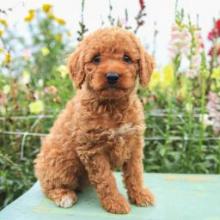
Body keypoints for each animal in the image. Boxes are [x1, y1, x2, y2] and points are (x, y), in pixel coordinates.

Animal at [34, 26, 155, 214]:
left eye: (126, 58)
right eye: (96, 59)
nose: (112, 76)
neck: (112, 106)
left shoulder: (134, 143)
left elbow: (135, 173)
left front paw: (140, 195)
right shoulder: (93, 149)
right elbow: (106, 179)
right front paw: (115, 203)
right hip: (61, 162)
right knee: (50, 186)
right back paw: (64, 196)